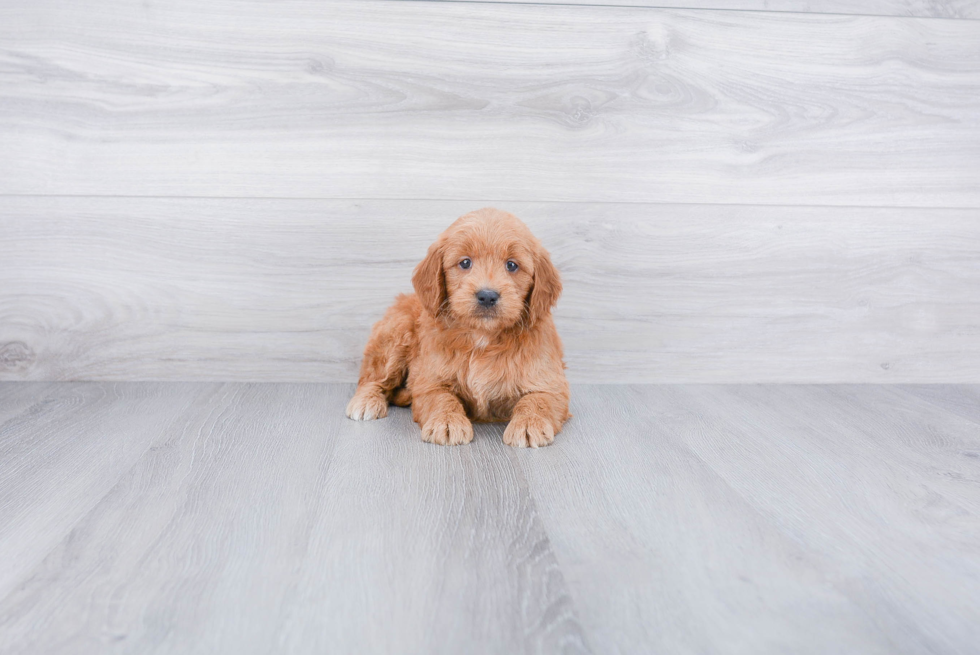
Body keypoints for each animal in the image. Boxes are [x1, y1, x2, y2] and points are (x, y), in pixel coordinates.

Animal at [346, 208, 572, 448]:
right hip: (395, 333)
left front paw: (529, 423)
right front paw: (446, 422)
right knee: (372, 378)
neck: (482, 337)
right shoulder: (430, 380)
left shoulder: (550, 383)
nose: (487, 295)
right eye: (465, 263)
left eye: (512, 265)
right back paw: (366, 401)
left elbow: (537, 400)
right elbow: (442, 398)